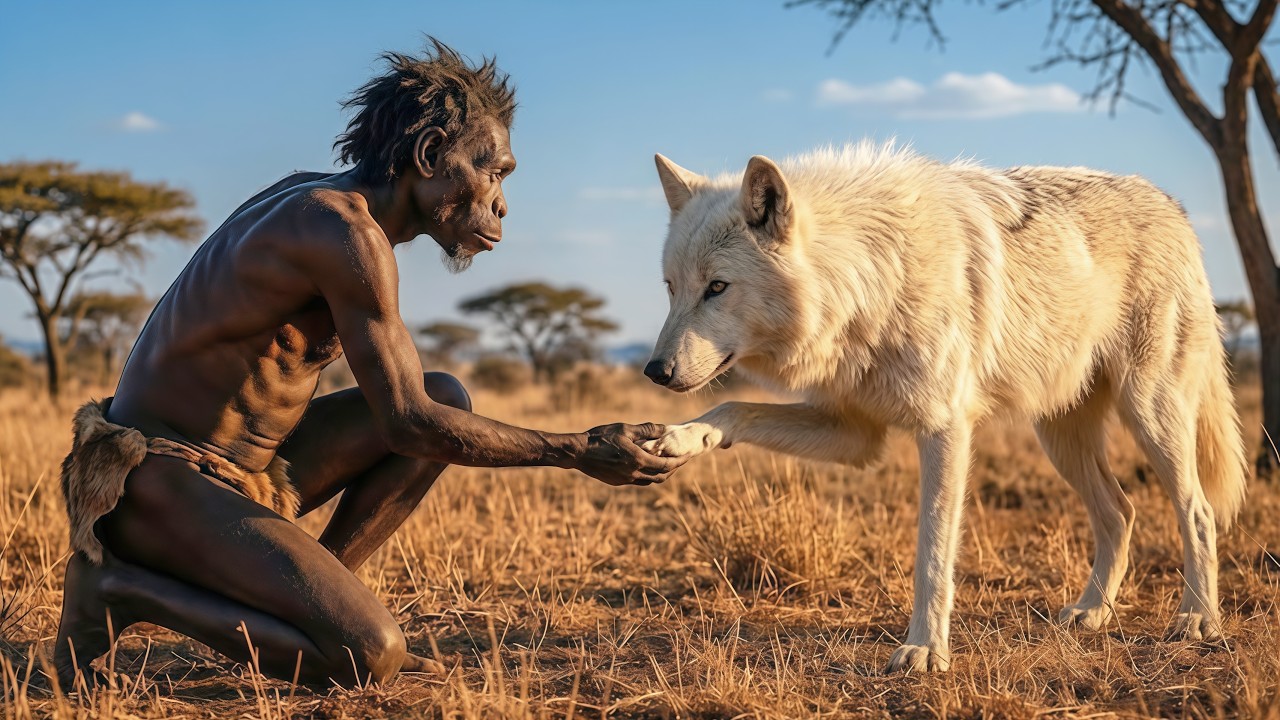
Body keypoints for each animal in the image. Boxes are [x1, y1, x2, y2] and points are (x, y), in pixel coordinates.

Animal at [641, 142, 1248, 673]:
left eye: (717, 287)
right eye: (671, 288)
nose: (655, 372)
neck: (869, 285)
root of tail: (1172, 206)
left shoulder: (944, 428)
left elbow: (932, 554)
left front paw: (924, 650)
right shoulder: (854, 435)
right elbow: (731, 410)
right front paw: (678, 439)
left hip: (1149, 413)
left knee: (1197, 510)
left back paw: (1198, 619)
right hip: (1061, 438)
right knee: (1121, 512)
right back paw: (1092, 612)